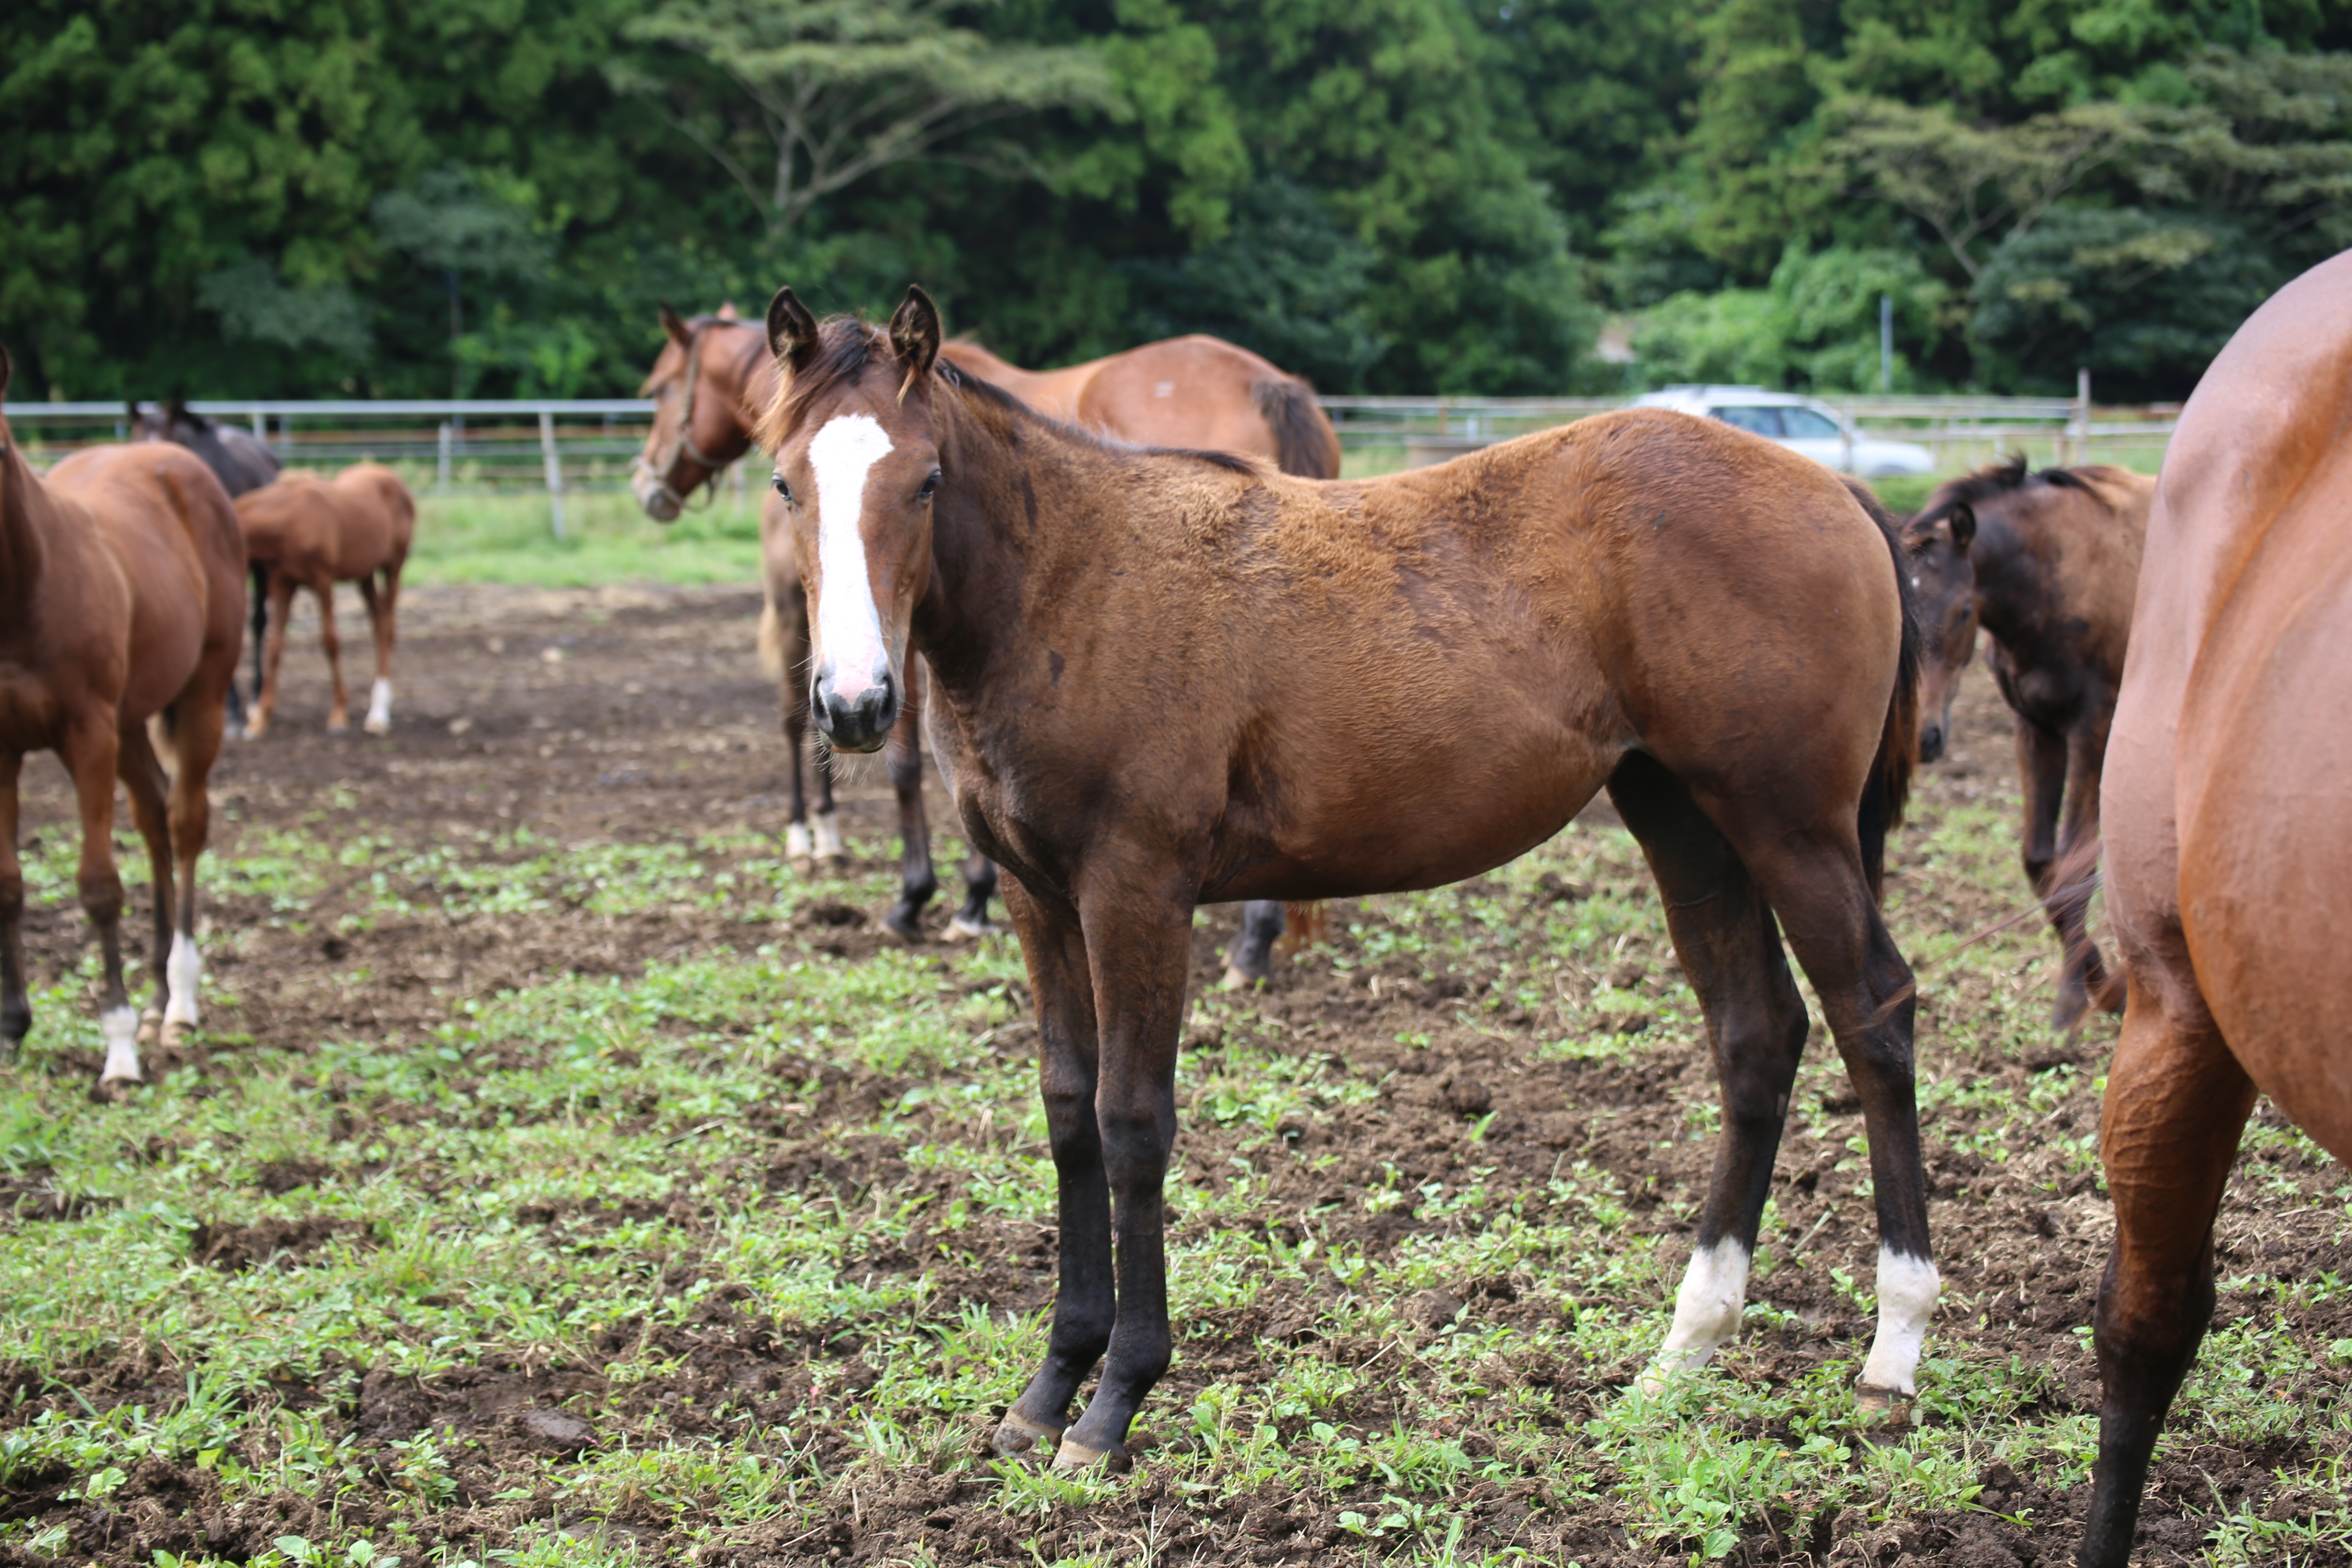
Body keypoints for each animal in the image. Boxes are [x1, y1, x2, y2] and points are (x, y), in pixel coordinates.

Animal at [0, 341, 243, 1086]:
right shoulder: (2, 747)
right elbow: (8, 884)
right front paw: (12, 1028)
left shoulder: (87, 736)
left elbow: (99, 887)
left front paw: (118, 1051)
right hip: (133, 722)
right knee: (155, 819)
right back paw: (158, 992)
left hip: (197, 695)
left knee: (184, 822)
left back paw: (180, 1000)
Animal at [630, 303, 1345, 959]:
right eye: (785, 482)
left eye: (660, 388)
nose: (646, 487)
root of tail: (1264, 383)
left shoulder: (876, 642)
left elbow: (889, 757)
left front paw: (904, 889)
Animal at [757, 291, 1947, 1476]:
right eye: (785, 482)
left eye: (924, 480)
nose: (856, 702)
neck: (1071, 583)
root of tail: (1836, 490)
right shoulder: (1037, 898)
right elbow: (1066, 1114)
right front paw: (1049, 1389)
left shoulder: (1136, 892)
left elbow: (1132, 1119)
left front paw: (1113, 1404)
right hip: (1683, 817)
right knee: (1756, 1034)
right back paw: (1684, 1351)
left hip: (1789, 827)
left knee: (1872, 1014)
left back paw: (1892, 1349)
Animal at [1900, 461, 2154, 1034]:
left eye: (1964, 609)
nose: (1925, 737)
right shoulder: (2035, 728)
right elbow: (2040, 863)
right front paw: (2102, 986)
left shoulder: (2092, 728)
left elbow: (2074, 867)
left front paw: (2083, 1000)